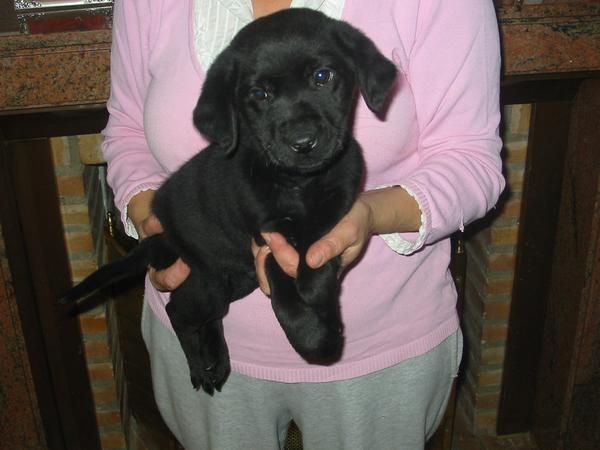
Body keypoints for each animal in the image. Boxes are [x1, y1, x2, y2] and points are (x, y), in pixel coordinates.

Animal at [63, 7, 396, 394]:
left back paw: (217, 361)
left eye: (322, 76)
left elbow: (317, 247)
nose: (302, 142)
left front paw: (318, 293)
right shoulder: (266, 239)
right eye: (259, 94)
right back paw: (199, 366)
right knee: (178, 310)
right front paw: (315, 336)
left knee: (207, 316)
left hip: (234, 279)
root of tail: (164, 238)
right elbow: (286, 295)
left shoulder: (337, 203)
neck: (298, 184)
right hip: (211, 280)